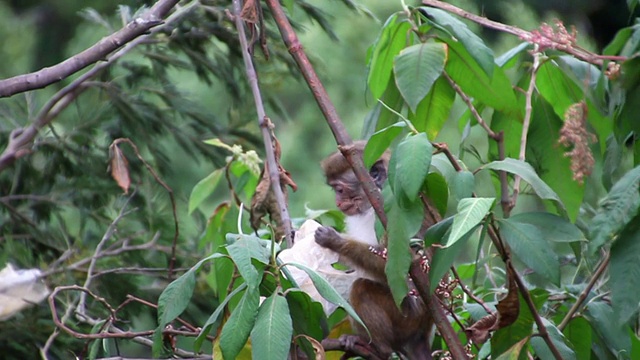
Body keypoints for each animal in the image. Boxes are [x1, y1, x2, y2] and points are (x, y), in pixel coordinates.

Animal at [314, 142, 430, 360]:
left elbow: (398, 266)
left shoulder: (389, 211)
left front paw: (335, 242)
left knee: (361, 289)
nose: (337, 202)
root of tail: (424, 330)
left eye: (340, 189)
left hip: (407, 318)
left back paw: (380, 348)